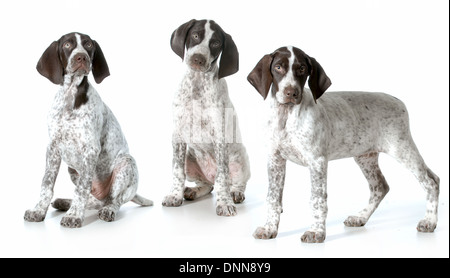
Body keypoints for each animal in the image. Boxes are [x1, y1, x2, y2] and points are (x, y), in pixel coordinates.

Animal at [24, 32, 153, 228]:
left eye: (89, 45)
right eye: (67, 44)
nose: (82, 57)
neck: (70, 96)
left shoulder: (90, 149)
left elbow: (81, 189)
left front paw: (74, 216)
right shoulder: (53, 148)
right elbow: (46, 184)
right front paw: (38, 211)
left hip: (126, 163)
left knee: (114, 200)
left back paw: (106, 210)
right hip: (72, 170)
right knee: (95, 201)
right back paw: (64, 202)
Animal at [163, 19, 251, 216]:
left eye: (216, 43)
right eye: (195, 35)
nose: (198, 59)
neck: (197, 83)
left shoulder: (219, 136)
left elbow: (223, 176)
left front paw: (224, 203)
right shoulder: (178, 134)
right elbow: (177, 171)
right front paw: (174, 195)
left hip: (241, 158)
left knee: (234, 182)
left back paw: (235, 193)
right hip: (190, 158)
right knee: (208, 185)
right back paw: (193, 191)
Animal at [246, 45, 440, 241]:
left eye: (302, 69)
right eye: (278, 67)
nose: (291, 93)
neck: (287, 114)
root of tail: (397, 100)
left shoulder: (317, 161)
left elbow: (317, 200)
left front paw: (316, 232)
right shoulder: (275, 160)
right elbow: (273, 198)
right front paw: (270, 228)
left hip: (401, 148)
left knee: (431, 181)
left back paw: (429, 221)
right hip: (365, 157)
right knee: (380, 187)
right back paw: (360, 217)